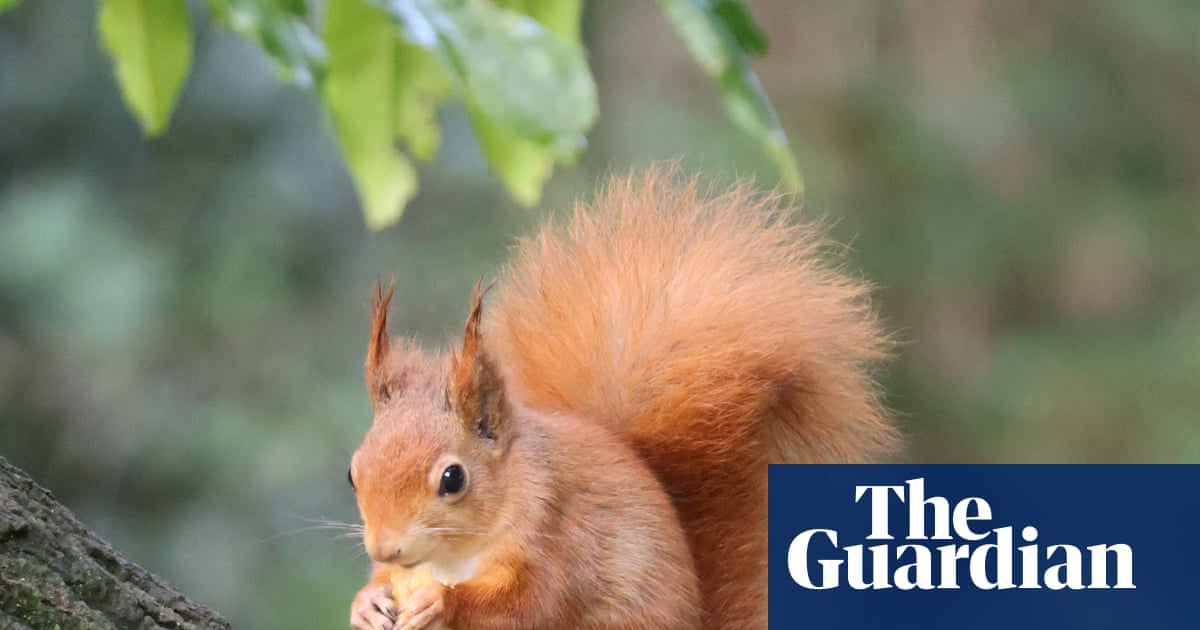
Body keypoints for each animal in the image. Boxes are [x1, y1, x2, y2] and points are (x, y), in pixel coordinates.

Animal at [347, 168, 896, 630]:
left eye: (453, 479)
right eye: (353, 473)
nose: (384, 548)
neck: (453, 556)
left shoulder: (560, 534)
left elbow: (532, 603)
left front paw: (443, 602)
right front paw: (368, 603)